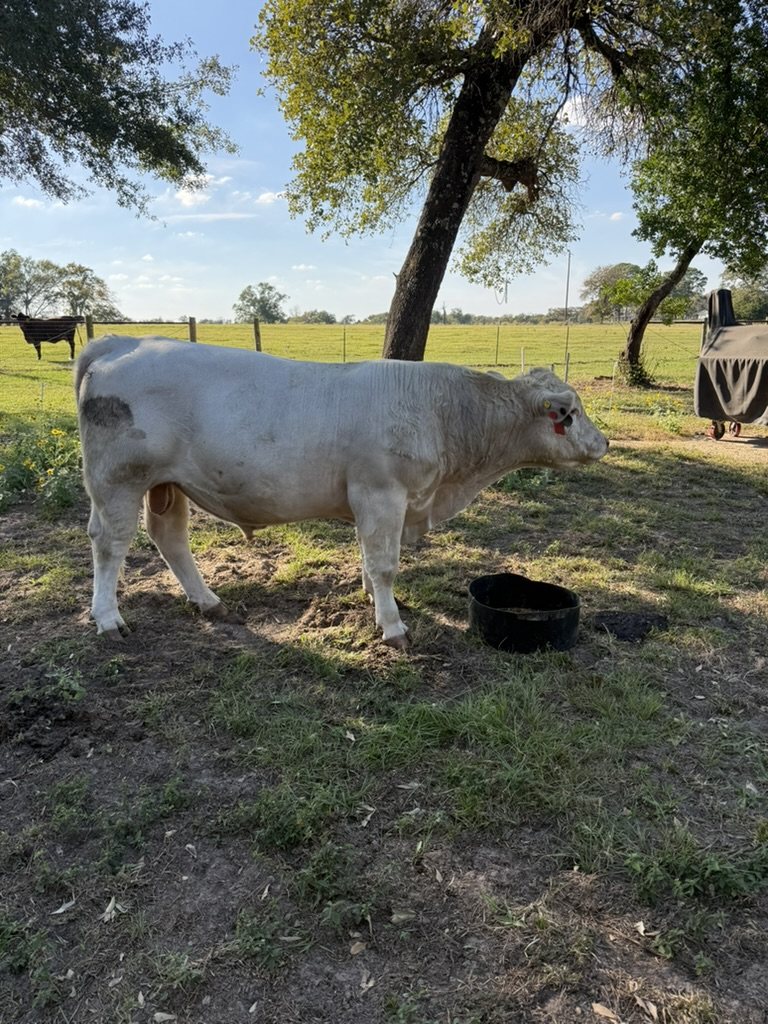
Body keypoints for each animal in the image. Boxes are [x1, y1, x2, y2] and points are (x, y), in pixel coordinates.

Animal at [75, 335, 609, 647]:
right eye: (572, 413)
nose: (603, 443)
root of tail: (125, 341)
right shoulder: (382, 491)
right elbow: (386, 562)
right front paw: (391, 625)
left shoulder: (377, 500)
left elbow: (371, 557)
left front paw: (374, 599)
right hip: (117, 479)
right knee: (110, 544)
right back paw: (108, 618)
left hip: (167, 484)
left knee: (170, 538)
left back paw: (207, 600)